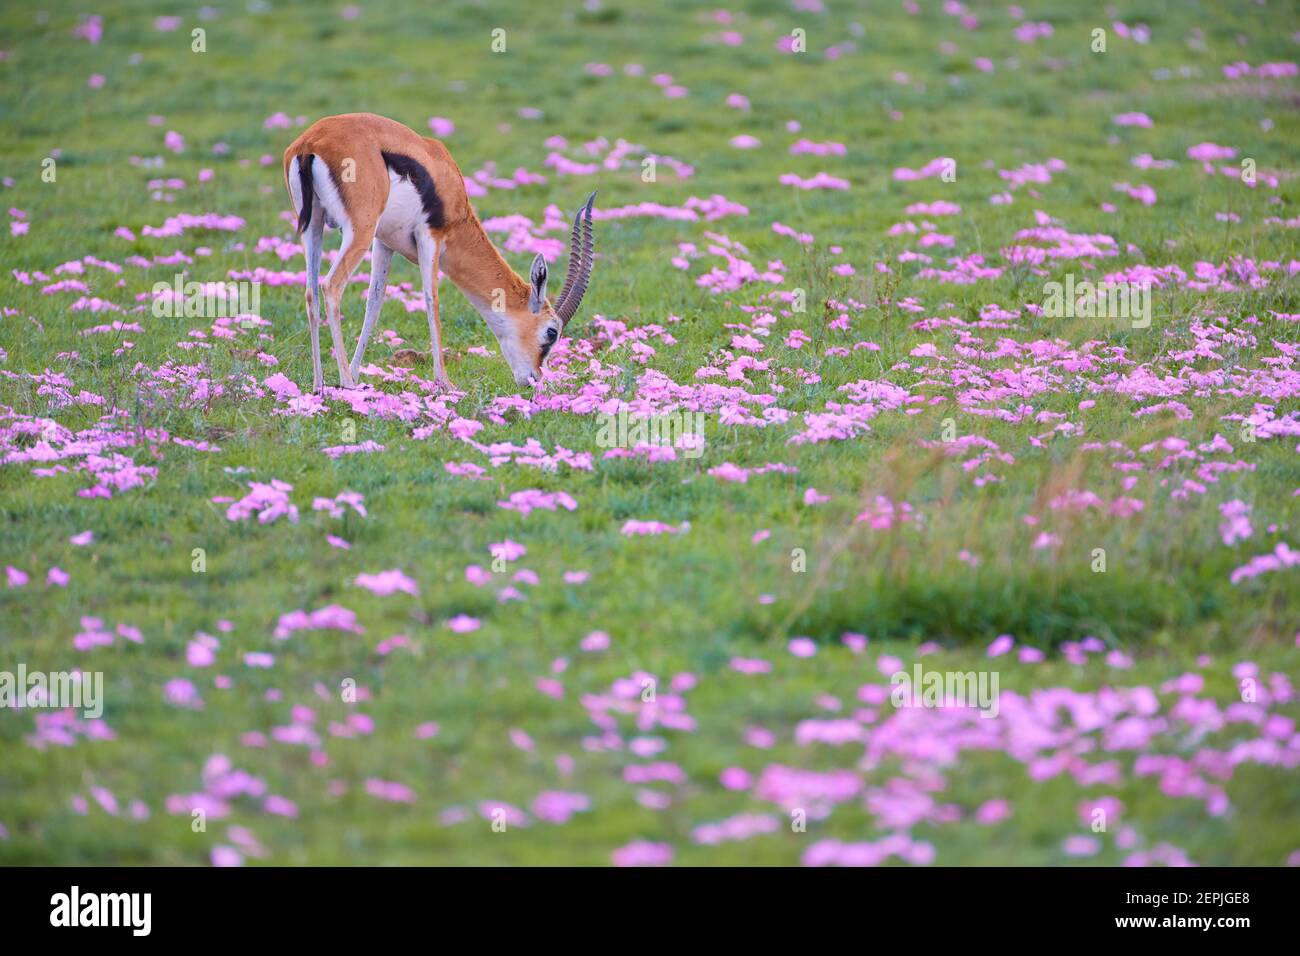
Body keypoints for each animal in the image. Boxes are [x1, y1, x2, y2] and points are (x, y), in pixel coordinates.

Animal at [282, 112, 595, 391]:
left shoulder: (384, 242)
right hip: (359, 231)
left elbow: (375, 302)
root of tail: (310, 143)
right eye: (551, 332)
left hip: (314, 227)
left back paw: (319, 386)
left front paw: (358, 372)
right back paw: (346, 385)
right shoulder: (431, 236)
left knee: (311, 292)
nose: (534, 379)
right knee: (331, 286)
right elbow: (432, 299)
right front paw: (444, 382)